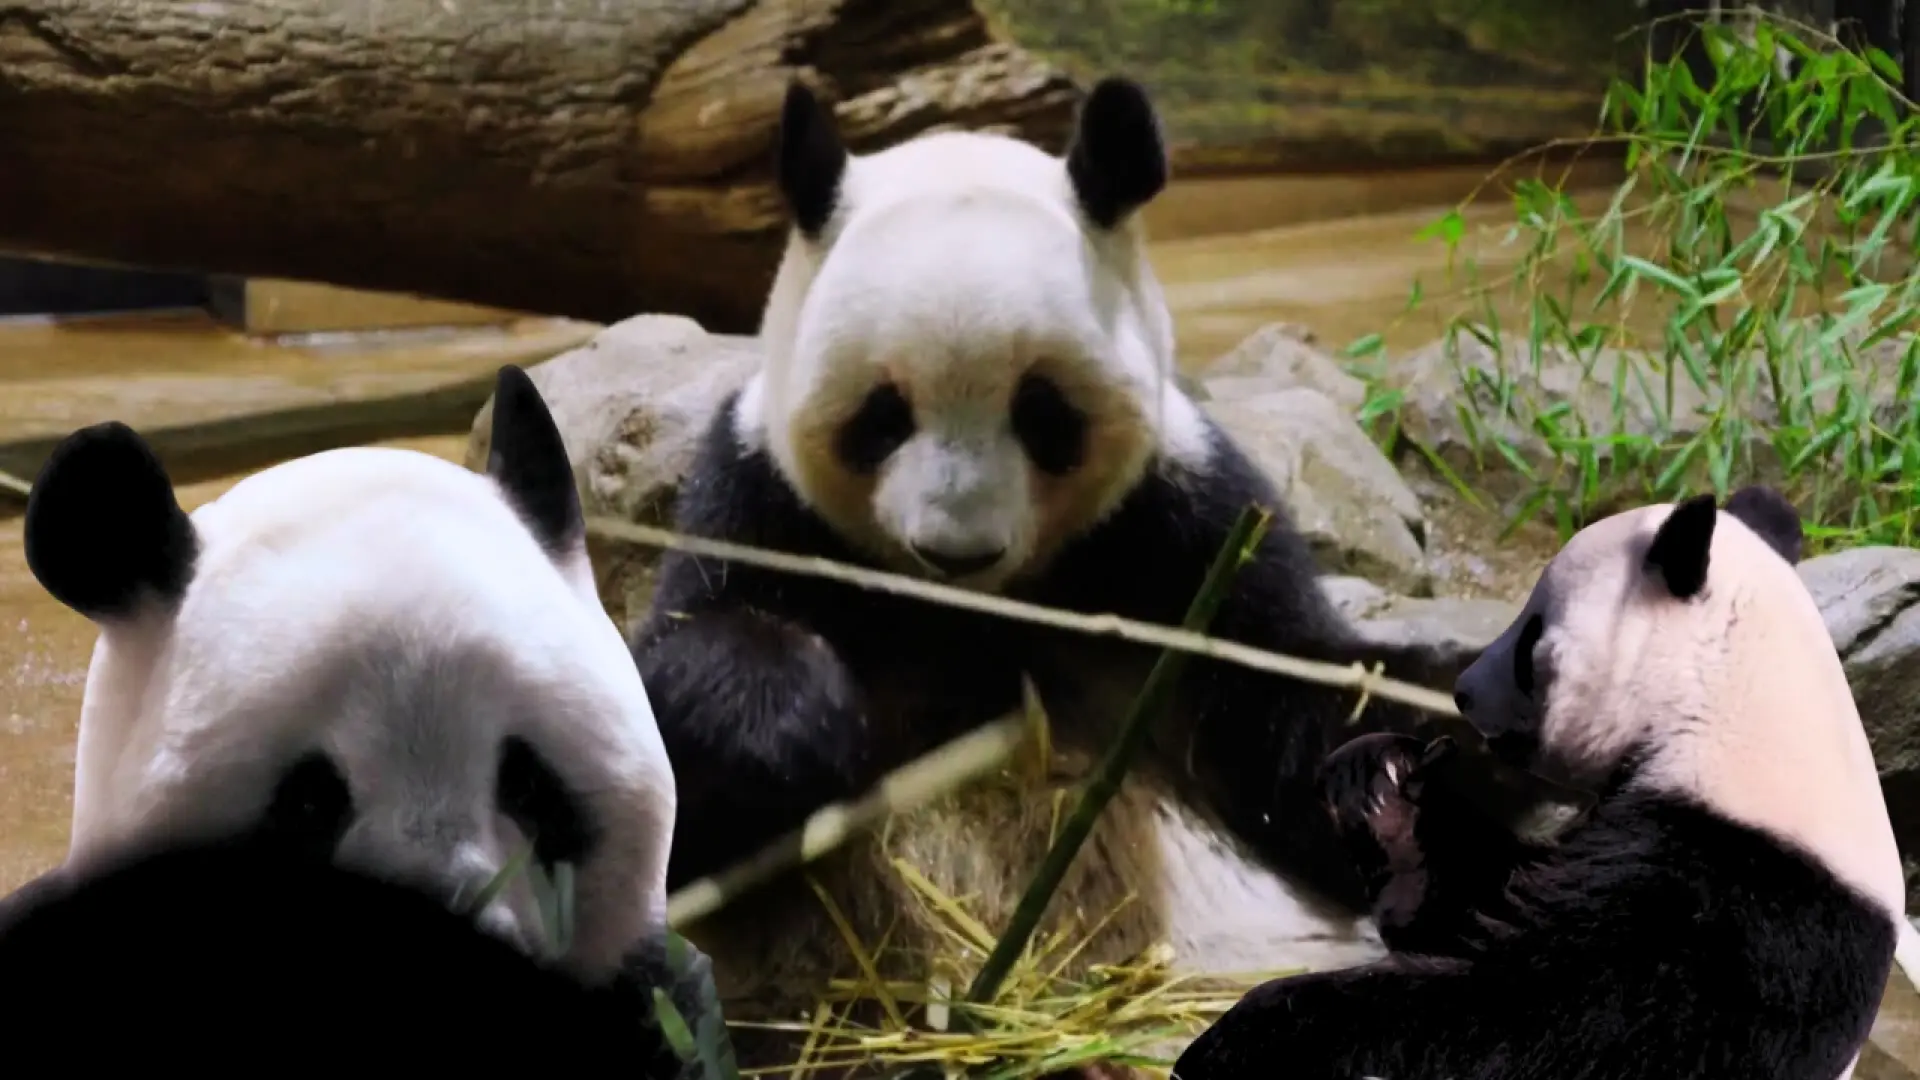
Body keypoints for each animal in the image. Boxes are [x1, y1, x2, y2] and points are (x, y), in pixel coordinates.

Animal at [628, 76, 1467, 1072]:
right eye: (882, 414)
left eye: (1041, 412)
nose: (957, 550)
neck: (970, 613)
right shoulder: (756, 501)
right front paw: (789, 716)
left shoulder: (1181, 528)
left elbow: (1297, 703)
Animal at [1172, 484, 1907, 1080]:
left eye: (1531, 638)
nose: (1465, 691)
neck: (1731, 705)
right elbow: (1472, 901)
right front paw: (1385, 787)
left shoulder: (1745, 906)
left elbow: (1552, 1019)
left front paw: (1251, 1034)